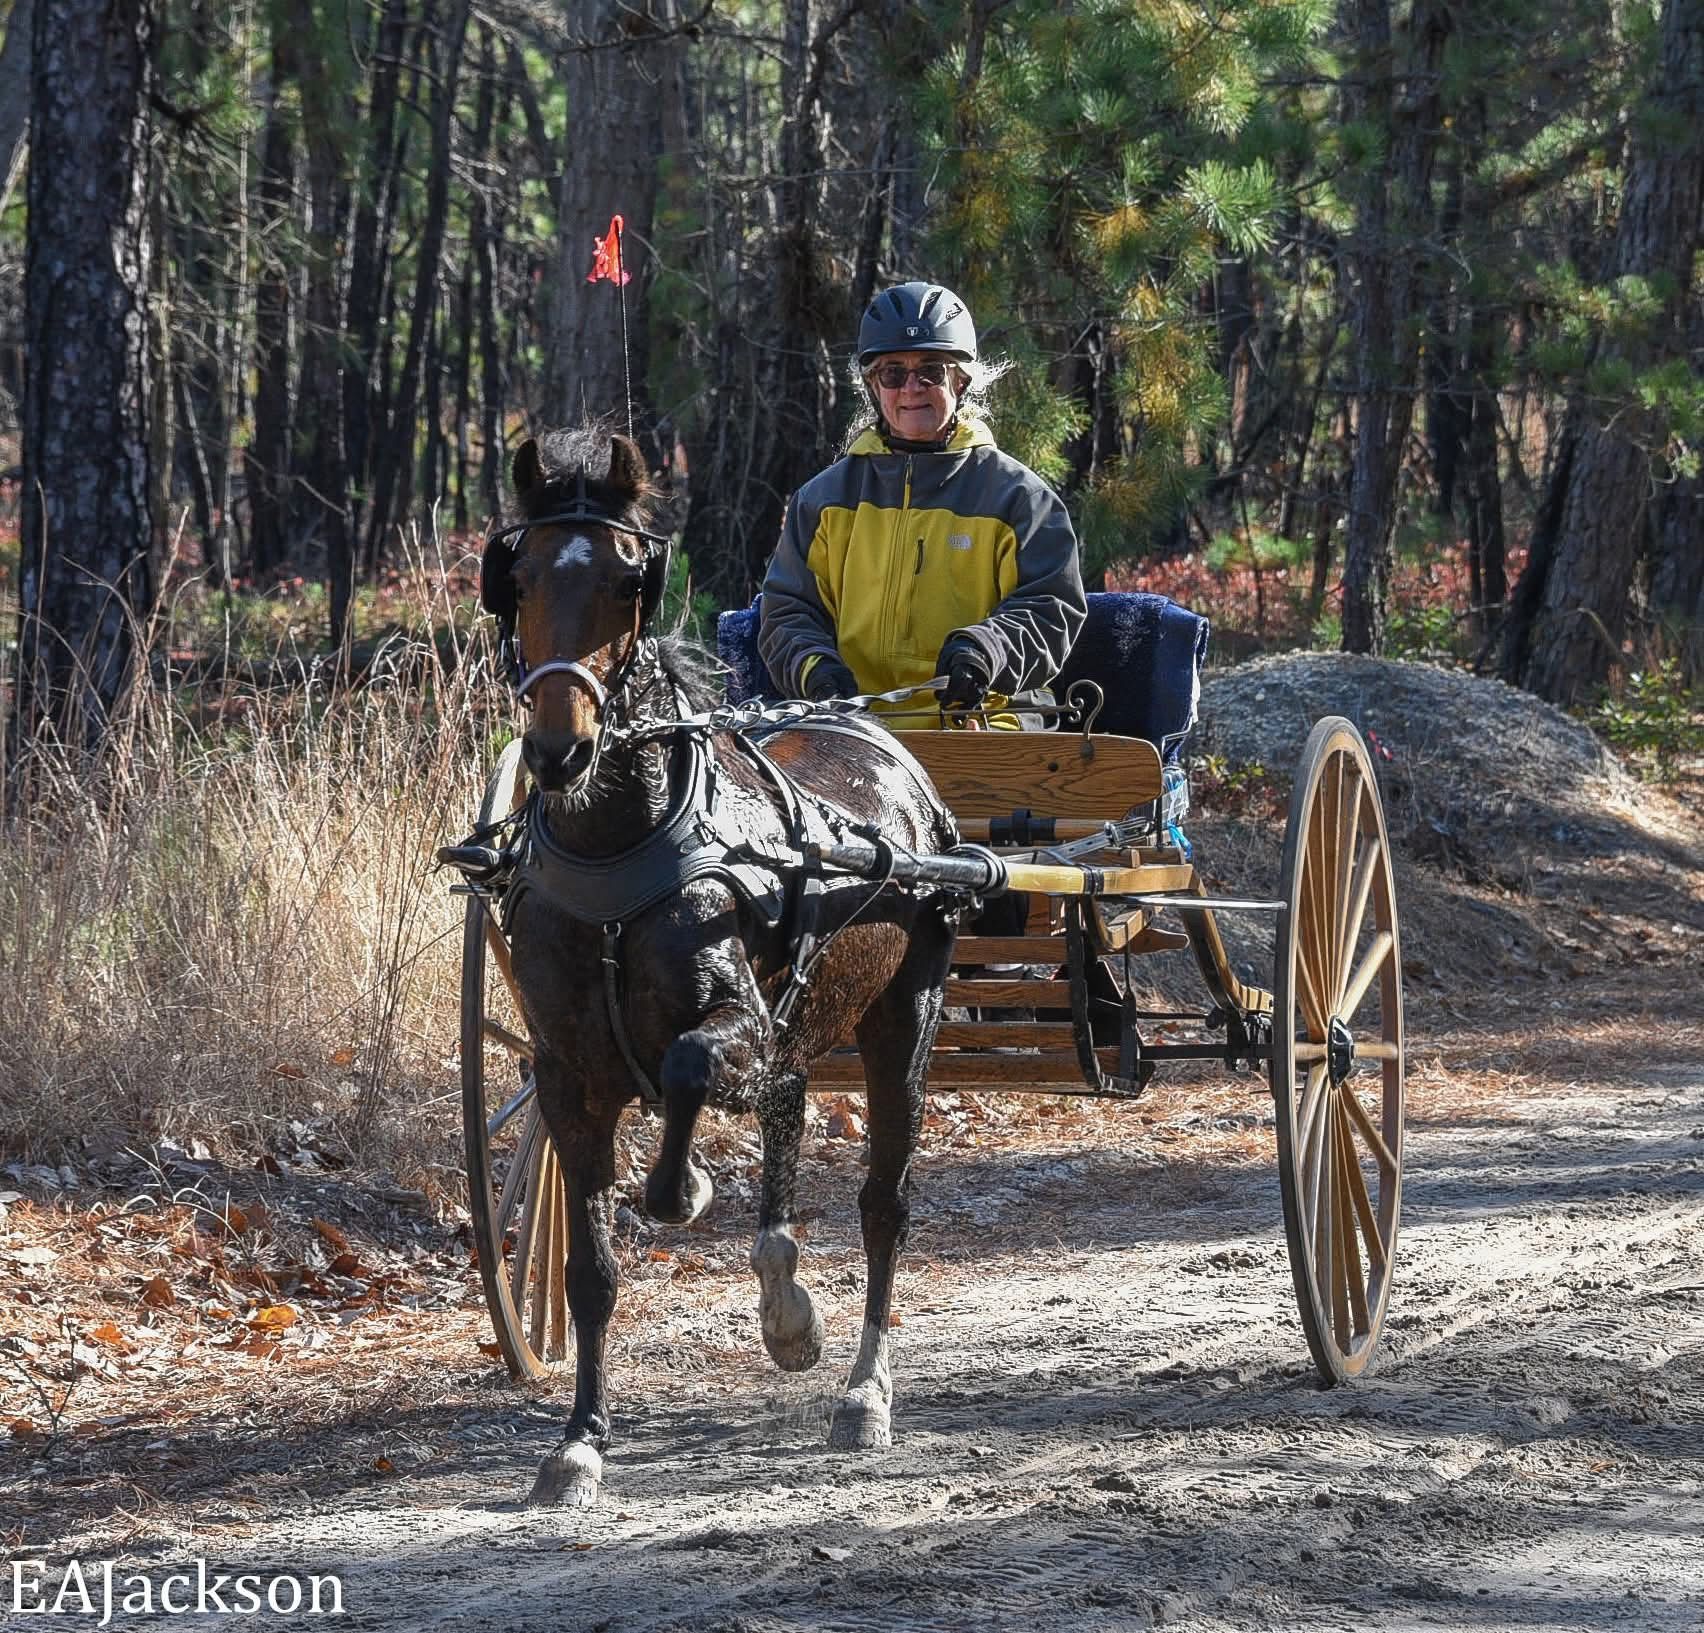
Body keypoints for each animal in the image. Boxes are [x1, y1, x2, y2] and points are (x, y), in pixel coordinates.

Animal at [476, 425, 960, 1508]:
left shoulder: (733, 1021)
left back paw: (865, 1389)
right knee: (789, 1106)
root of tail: (887, 744)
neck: (620, 846)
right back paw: (786, 1302)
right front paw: (580, 1439)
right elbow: (588, 1272)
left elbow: (692, 1069)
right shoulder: (562, 1074)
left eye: (628, 580)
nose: (557, 751)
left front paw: (684, 1187)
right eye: (514, 576)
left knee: (884, 1204)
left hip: (903, 1015)